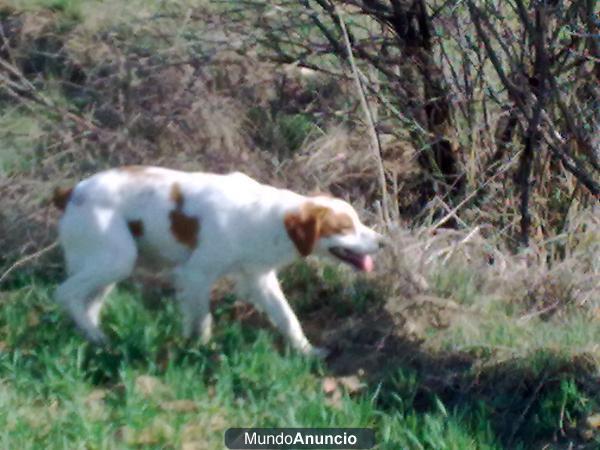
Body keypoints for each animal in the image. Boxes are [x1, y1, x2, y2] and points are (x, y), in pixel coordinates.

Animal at [54, 165, 382, 356]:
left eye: (357, 222)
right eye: (344, 227)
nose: (382, 242)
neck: (266, 219)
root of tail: (72, 191)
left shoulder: (260, 279)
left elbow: (288, 317)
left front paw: (307, 352)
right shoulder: (196, 274)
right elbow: (202, 319)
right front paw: (200, 348)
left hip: (110, 265)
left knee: (87, 303)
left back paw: (95, 339)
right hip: (117, 259)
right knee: (65, 293)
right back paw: (97, 337)